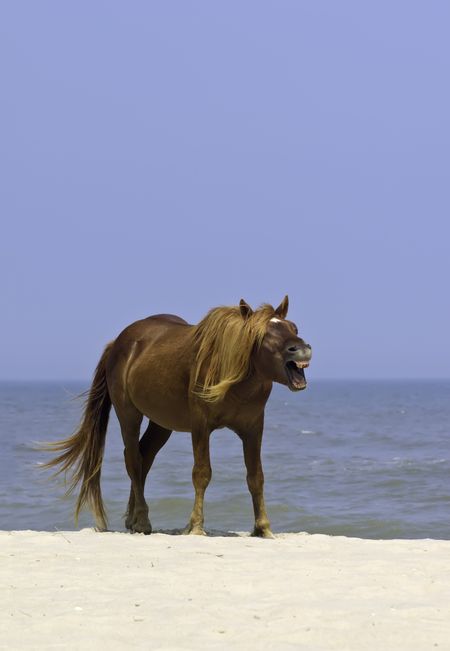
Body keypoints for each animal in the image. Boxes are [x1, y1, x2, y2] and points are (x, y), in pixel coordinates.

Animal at [44, 298, 312, 536]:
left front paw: (263, 528)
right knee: (133, 459)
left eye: (294, 328)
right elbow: (202, 473)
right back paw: (142, 521)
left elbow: (256, 477)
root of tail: (119, 343)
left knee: (144, 458)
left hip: (161, 423)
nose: (302, 350)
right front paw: (195, 526)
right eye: (264, 334)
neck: (232, 374)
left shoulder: (253, 428)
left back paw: (134, 519)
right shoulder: (201, 425)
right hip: (128, 414)